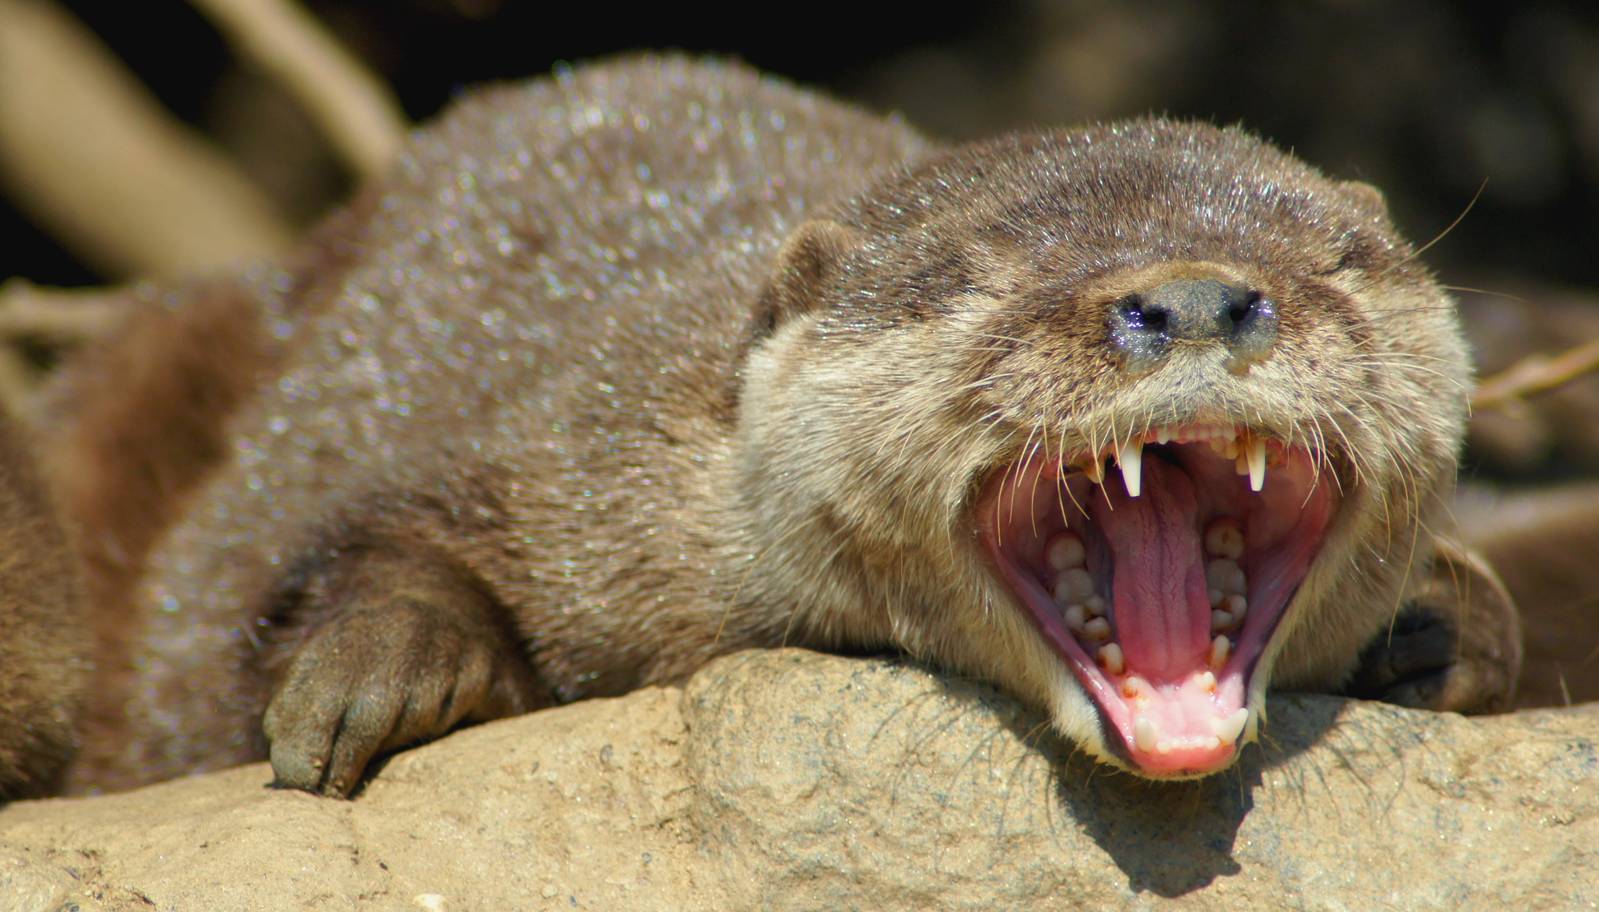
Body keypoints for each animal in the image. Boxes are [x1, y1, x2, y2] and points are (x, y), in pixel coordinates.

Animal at [18, 56, 1519, 797]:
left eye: (1334, 260)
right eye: (983, 281)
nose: (1198, 297)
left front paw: (1441, 626)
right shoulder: (560, 446)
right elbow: (378, 531)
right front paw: (380, 666)